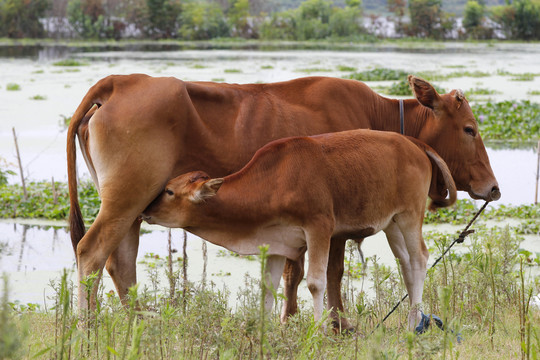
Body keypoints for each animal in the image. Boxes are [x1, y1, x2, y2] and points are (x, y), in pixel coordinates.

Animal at [139, 130, 456, 332]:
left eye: (169, 191)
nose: (145, 210)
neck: (275, 181)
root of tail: (413, 142)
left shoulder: (320, 228)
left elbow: (316, 282)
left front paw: (317, 331)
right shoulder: (276, 242)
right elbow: (269, 288)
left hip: (410, 216)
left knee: (419, 260)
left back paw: (413, 323)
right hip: (393, 224)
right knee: (406, 266)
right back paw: (414, 318)